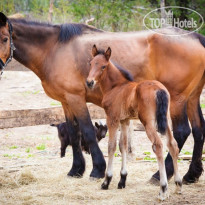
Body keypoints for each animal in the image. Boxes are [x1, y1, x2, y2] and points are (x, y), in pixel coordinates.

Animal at [85, 44, 182, 200]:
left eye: (103, 66)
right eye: (91, 63)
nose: (89, 82)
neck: (116, 87)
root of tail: (159, 89)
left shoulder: (112, 119)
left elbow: (111, 146)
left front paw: (106, 181)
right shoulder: (125, 120)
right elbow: (123, 146)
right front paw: (122, 181)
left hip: (148, 123)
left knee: (158, 146)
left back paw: (163, 189)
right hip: (166, 121)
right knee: (173, 145)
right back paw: (178, 186)